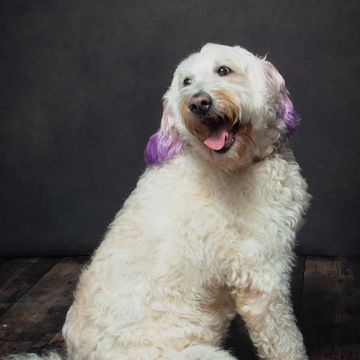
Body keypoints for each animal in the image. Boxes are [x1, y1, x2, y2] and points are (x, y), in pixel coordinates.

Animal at [6, 43, 310, 358]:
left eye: (224, 70)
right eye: (186, 82)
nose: (198, 103)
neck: (237, 165)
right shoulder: (262, 276)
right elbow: (285, 341)